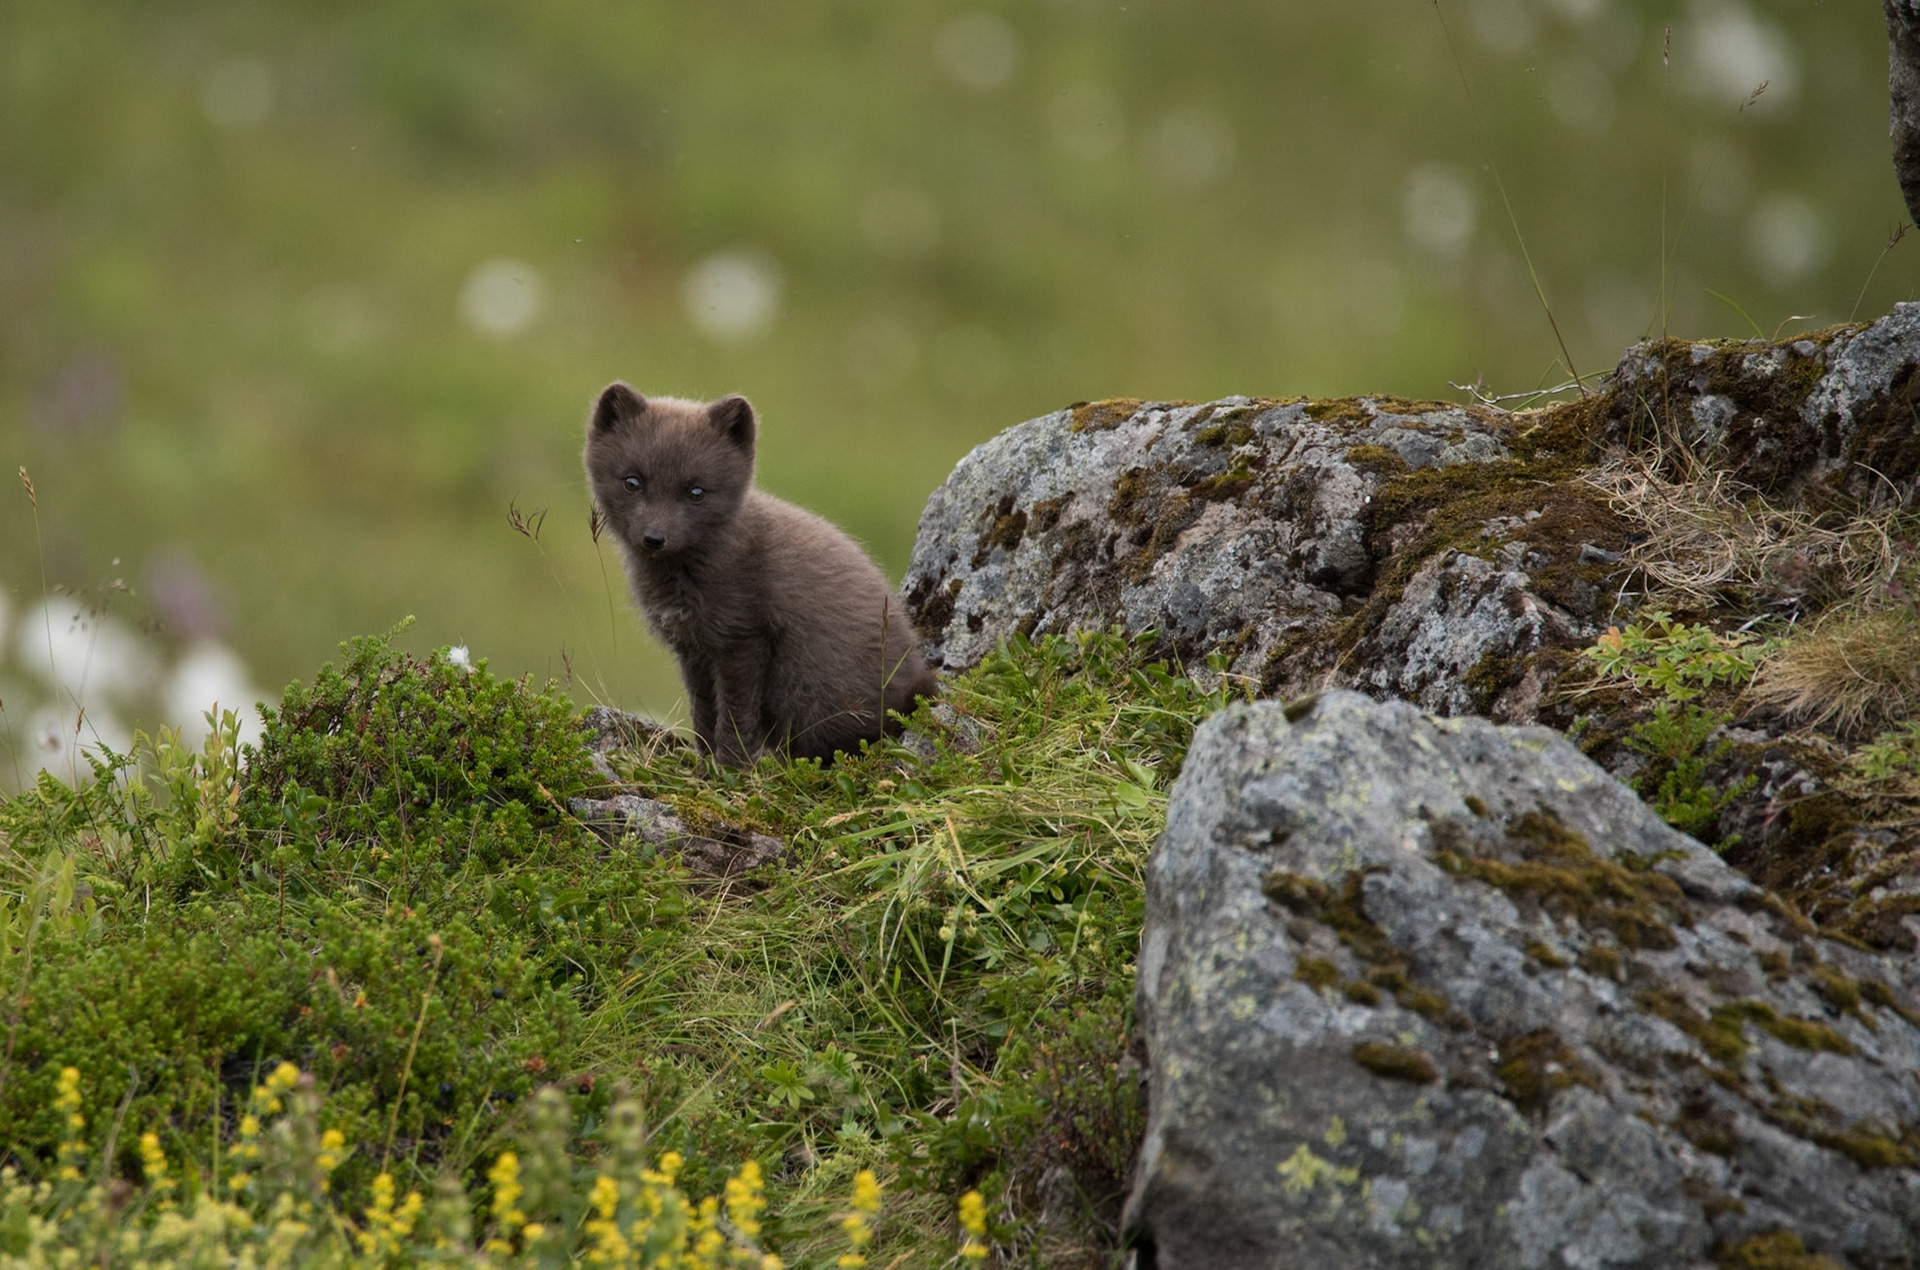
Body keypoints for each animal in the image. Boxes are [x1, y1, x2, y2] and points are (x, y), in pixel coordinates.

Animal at [583, 383, 938, 766]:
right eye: (632, 481)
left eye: (696, 491)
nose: (654, 537)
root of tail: (917, 681)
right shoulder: (693, 649)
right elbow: (704, 712)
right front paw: (705, 762)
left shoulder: (744, 638)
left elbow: (735, 716)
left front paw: (729, 768)